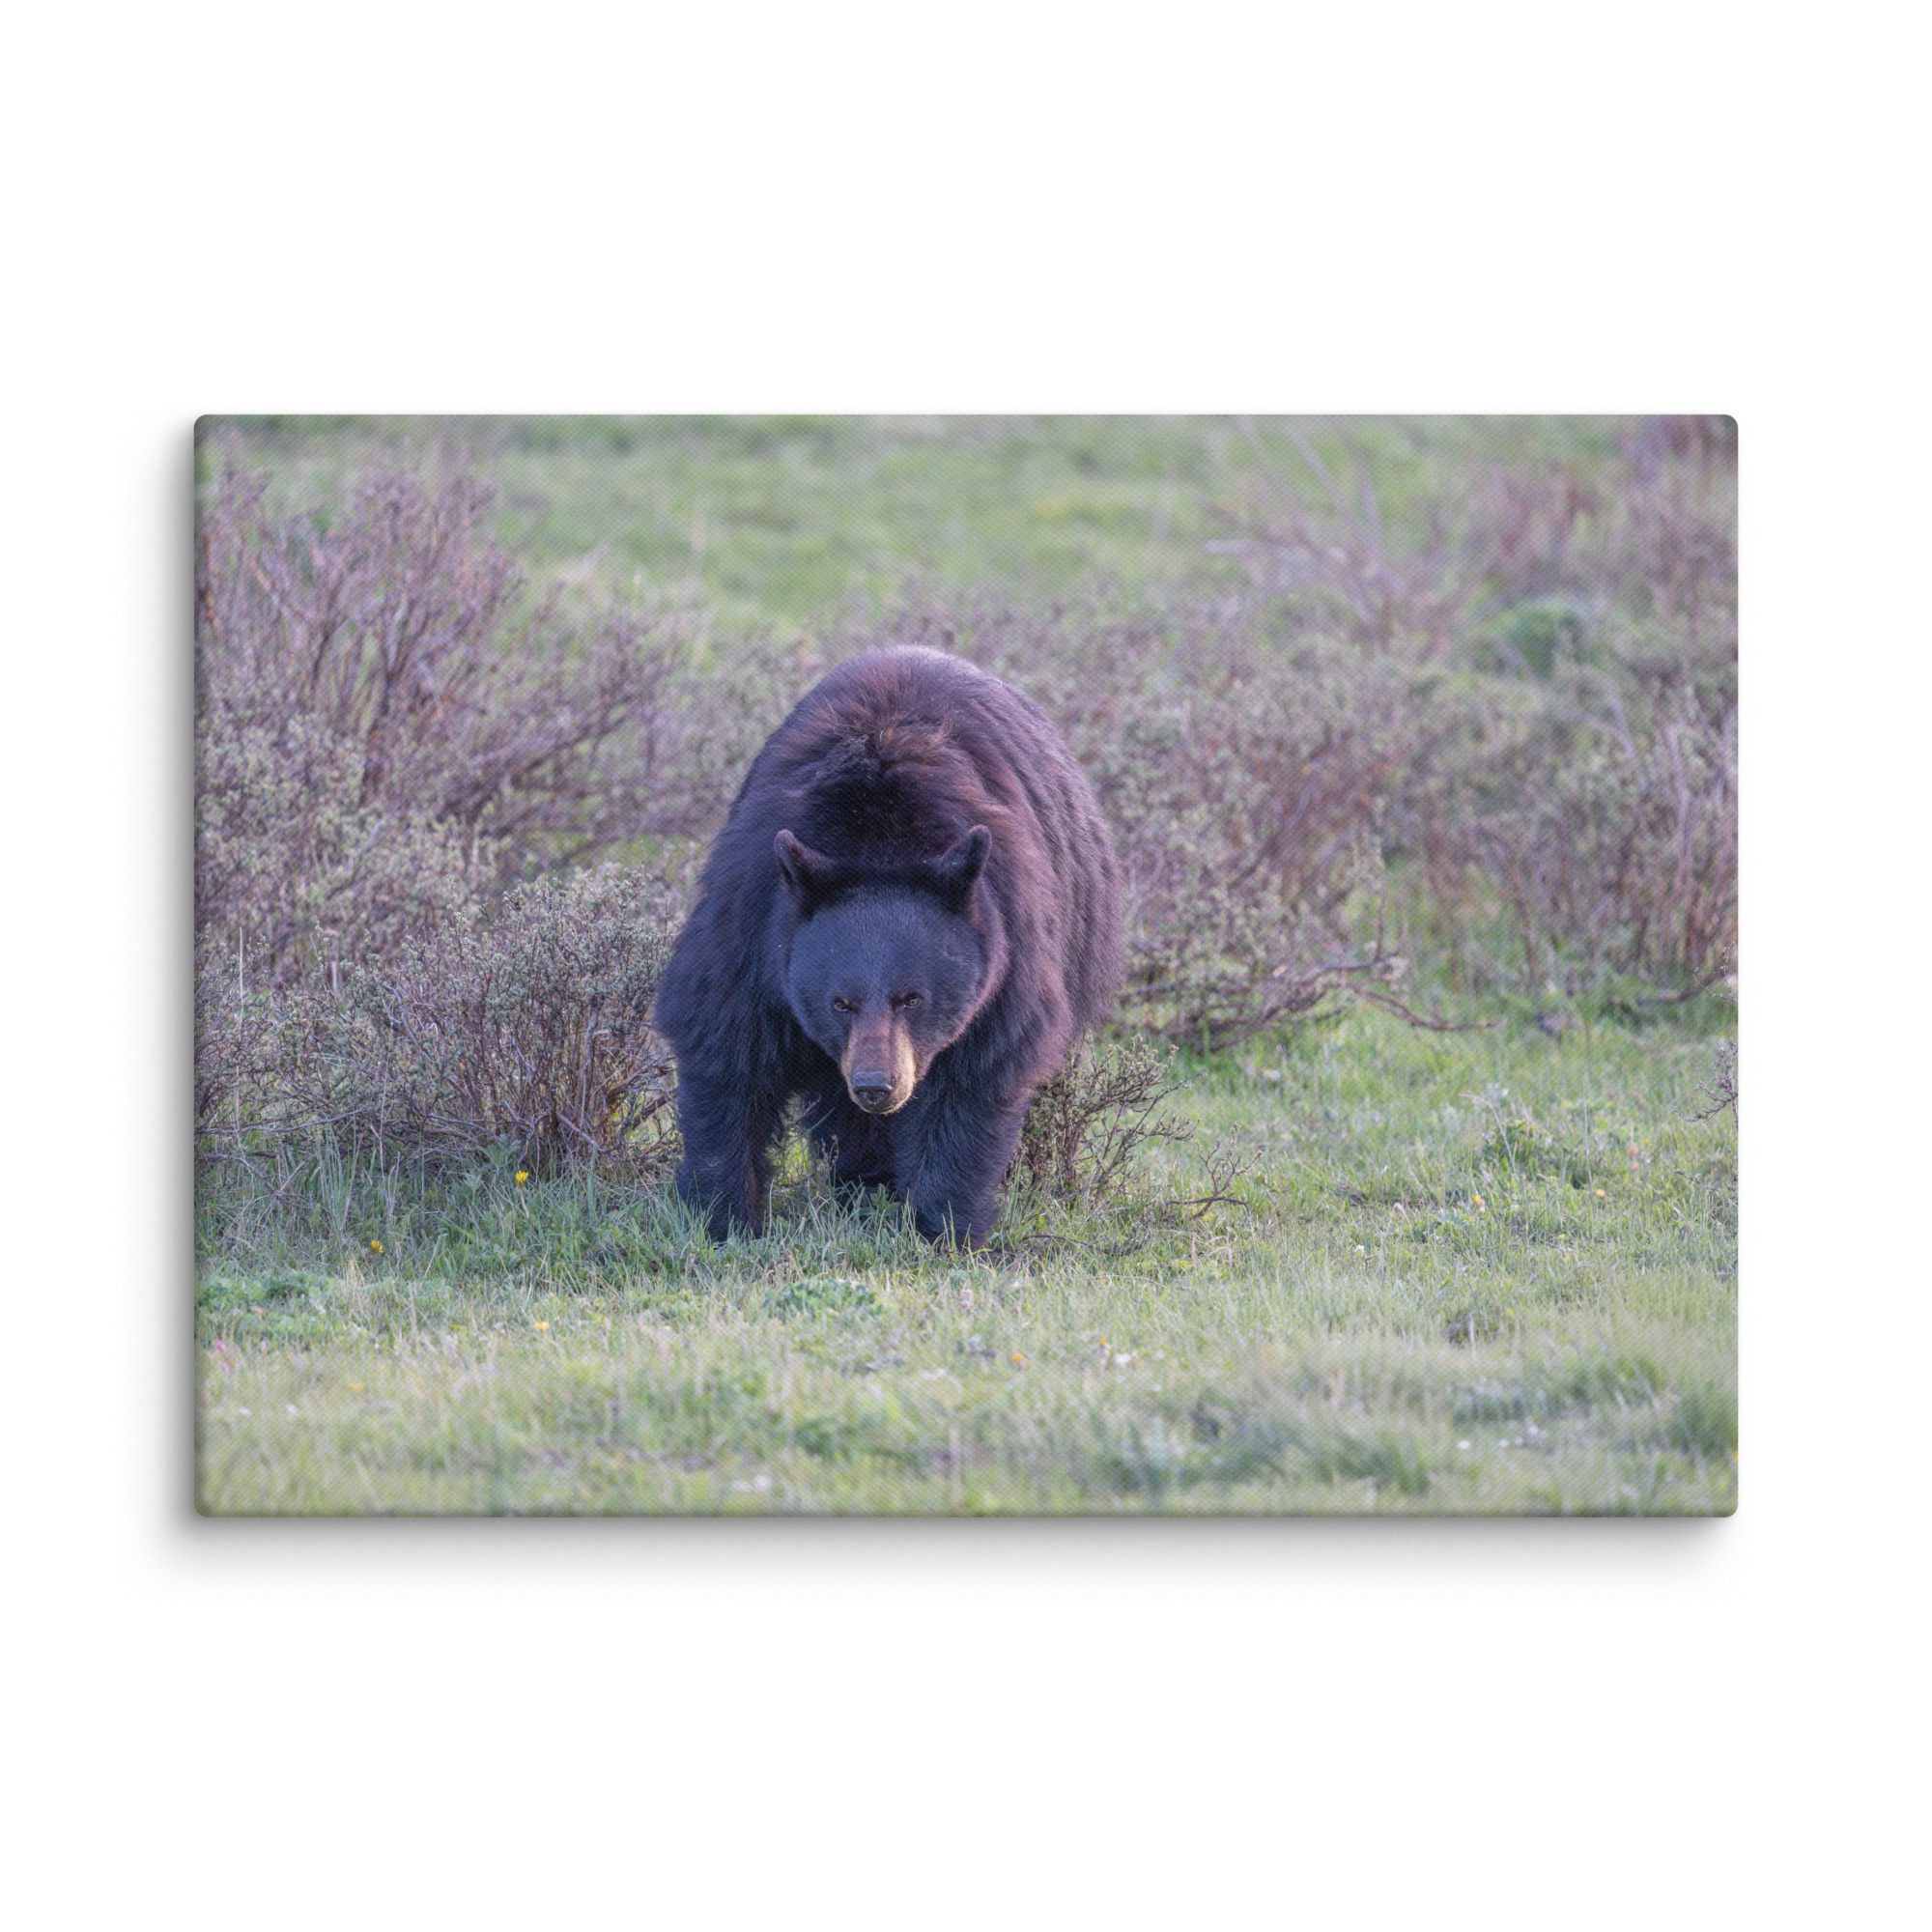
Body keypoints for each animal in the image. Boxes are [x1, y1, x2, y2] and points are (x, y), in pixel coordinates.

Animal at [654, 646, 1124, 1247]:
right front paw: (724, 1217)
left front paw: (947, 1227)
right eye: (840, 1002)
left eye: (913, 998)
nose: (877, 1086)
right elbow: (725, 1048)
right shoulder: (753, 922)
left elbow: (974, 1079)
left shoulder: (1007, 944)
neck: (878, 839)